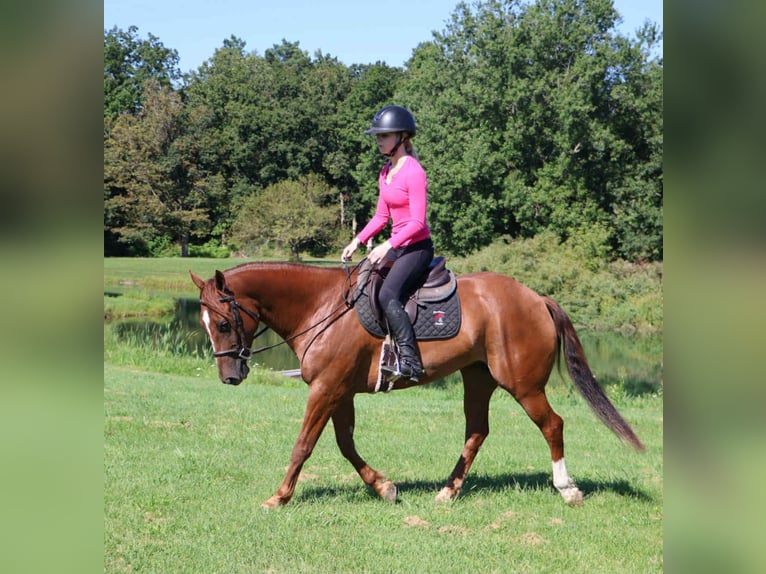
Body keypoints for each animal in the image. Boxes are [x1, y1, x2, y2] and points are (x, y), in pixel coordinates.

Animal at [190, 261, 644, 509]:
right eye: (206, 324)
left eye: (225, 323)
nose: (230, 377)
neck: (321, 308)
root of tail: (536, 297)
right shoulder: (339, 391)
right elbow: (345, 444)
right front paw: (384, 487)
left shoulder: (326, 389)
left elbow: (305, 444)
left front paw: (280, 496)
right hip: (477, 378)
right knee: (477, 431)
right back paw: (448, 492)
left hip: (524, 385)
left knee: (552, 425)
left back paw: (567, 489)